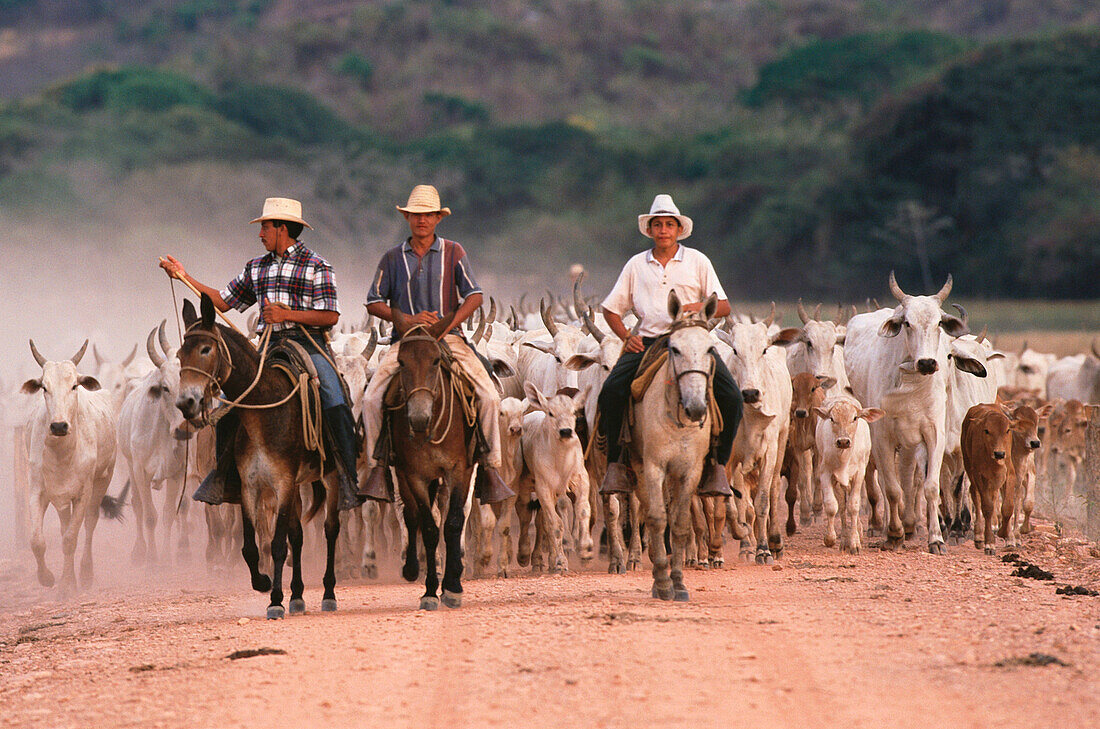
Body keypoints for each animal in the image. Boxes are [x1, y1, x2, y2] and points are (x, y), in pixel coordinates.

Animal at [21, 338, 117, 598]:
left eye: (74, 385)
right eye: (44, 387)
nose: (59, 426)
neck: (61, 453)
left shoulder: (83, 492)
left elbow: (70, 539)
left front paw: (66, 585)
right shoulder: (37, 490)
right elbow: (37, 541)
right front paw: (47, 578)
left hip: (102, 481)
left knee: (89, 524)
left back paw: (85, 573)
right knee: (65, 524)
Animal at [176, 296, 341, 620]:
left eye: (206, 349)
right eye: (179, 354)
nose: (186, 402)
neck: (263, 412)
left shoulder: (284, 483)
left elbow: (277, 544)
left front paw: (276, 600)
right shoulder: (249, 486)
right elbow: (251, 547)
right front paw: (264, 583)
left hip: (330, 477)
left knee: (330, 529)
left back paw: (328, 593)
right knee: (298, 535)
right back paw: (298, 596)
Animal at [389, 325, 475, 611]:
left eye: (436, 361)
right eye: (401, 362)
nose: (418, 418)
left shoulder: (460, 470)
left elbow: (453, 522)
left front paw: (453, 586)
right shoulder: (412, 474)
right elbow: (428, 526)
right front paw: (429, 590)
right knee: (412, 513)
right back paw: (413, 567)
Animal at [844, 273, 976, 554]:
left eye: (939, 323)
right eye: (906, 323)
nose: (927, 362)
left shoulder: (933, 434)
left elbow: (930, 487)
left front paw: (935, 538)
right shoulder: (882, 436)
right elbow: (892, 489)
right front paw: (893, 534)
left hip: (908, 444)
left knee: (907, 477)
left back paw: (909, 523)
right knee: (891, 484)